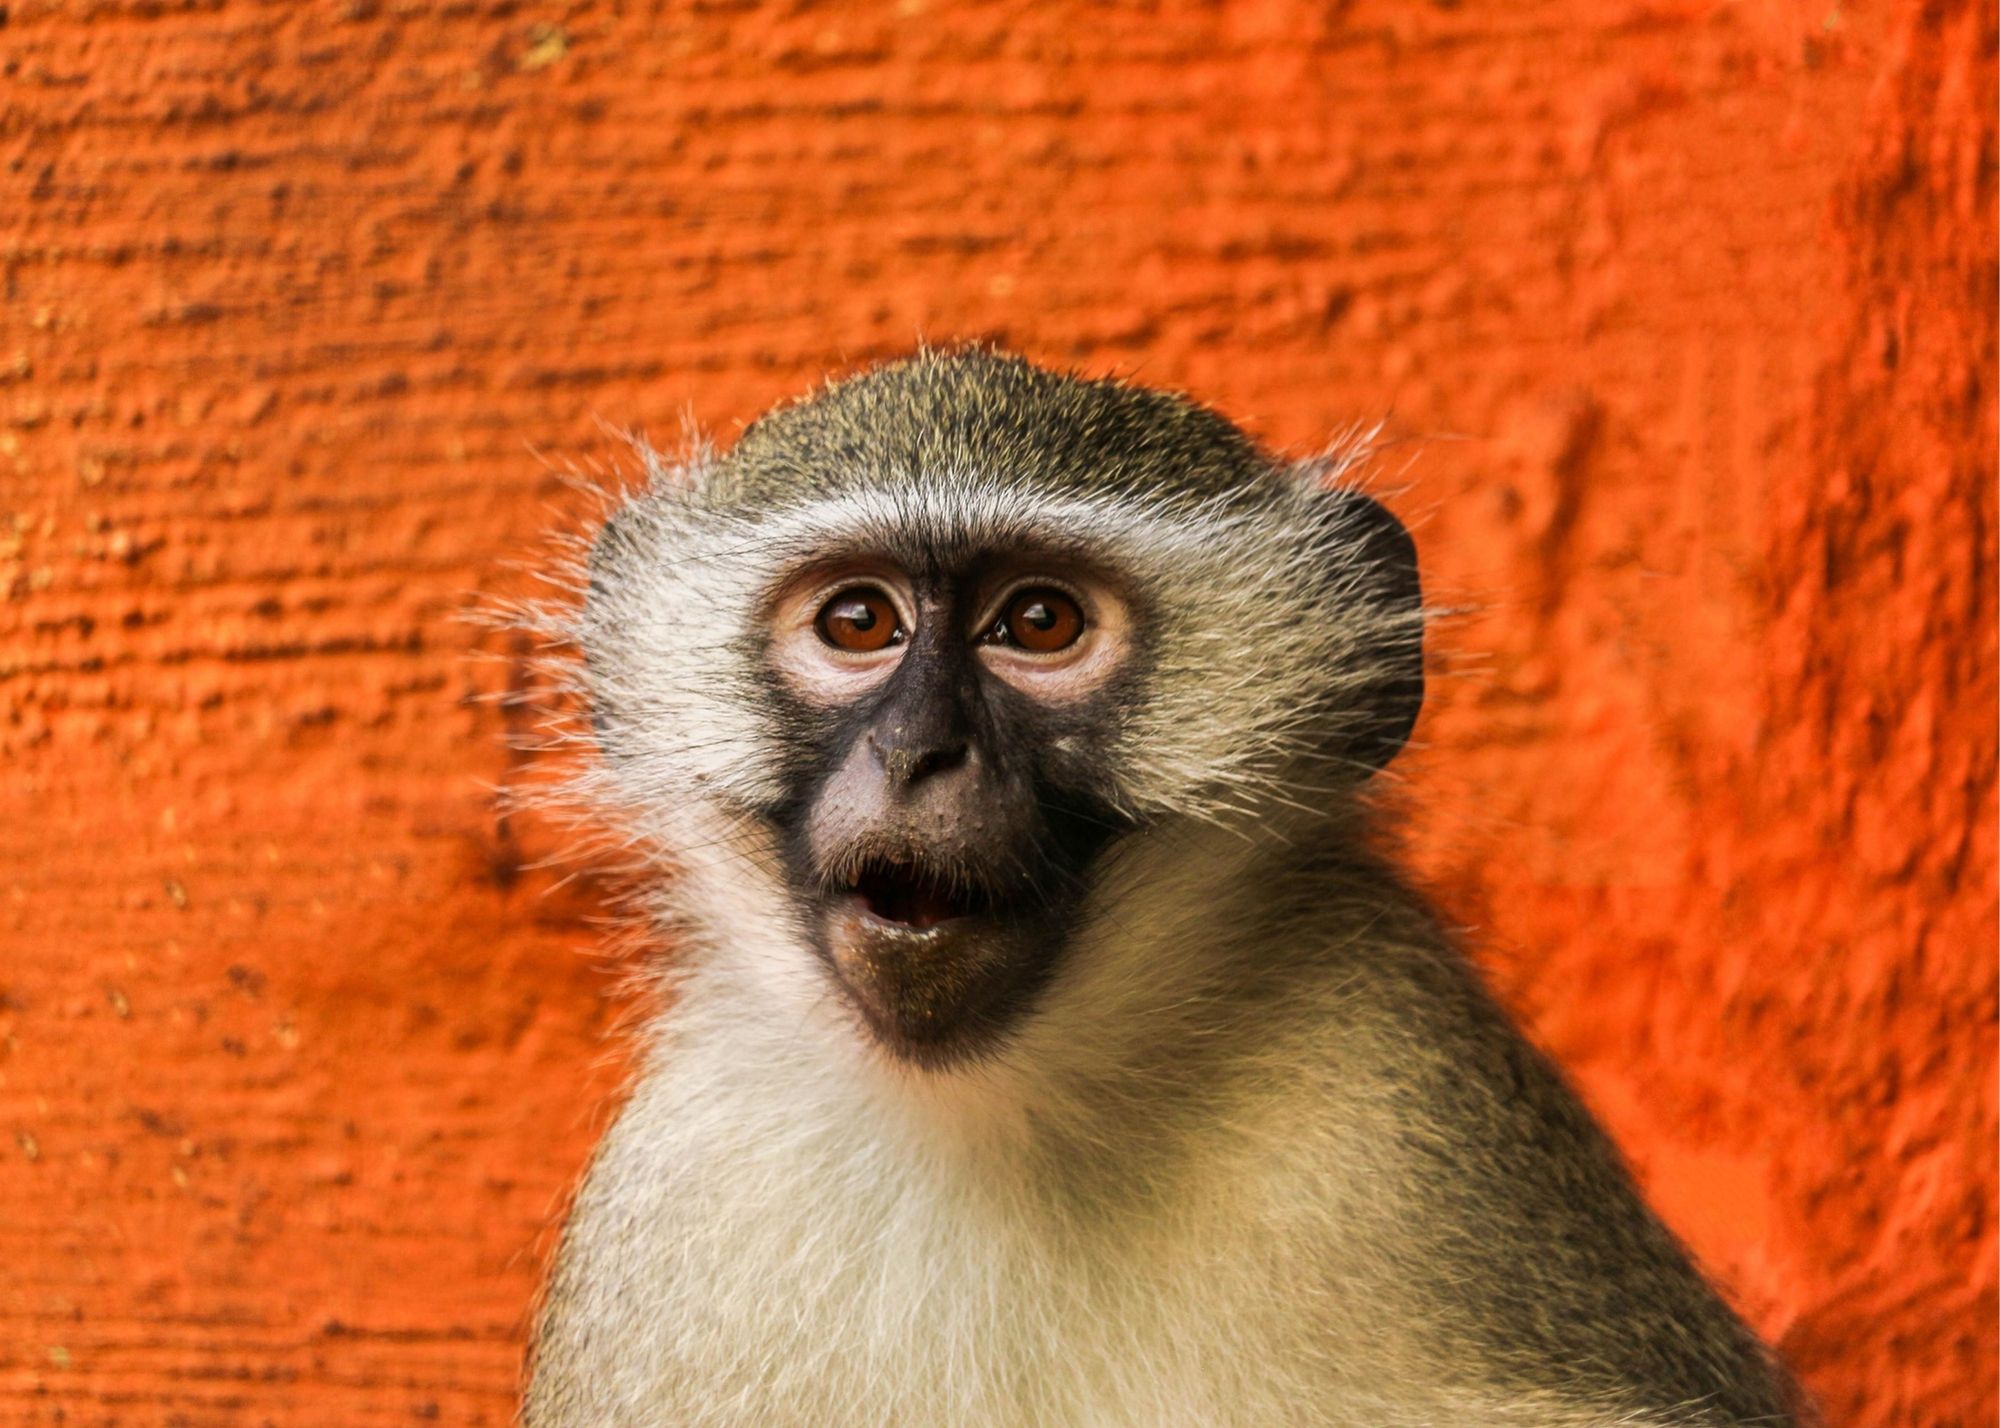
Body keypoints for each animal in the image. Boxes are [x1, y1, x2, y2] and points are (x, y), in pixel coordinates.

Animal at [516, 348, 1800, 1424]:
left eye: (1038, 621)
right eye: (858, 621)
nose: (918, 752)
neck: (1004, 1120)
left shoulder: (1407, 1106)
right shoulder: (682, 1183)